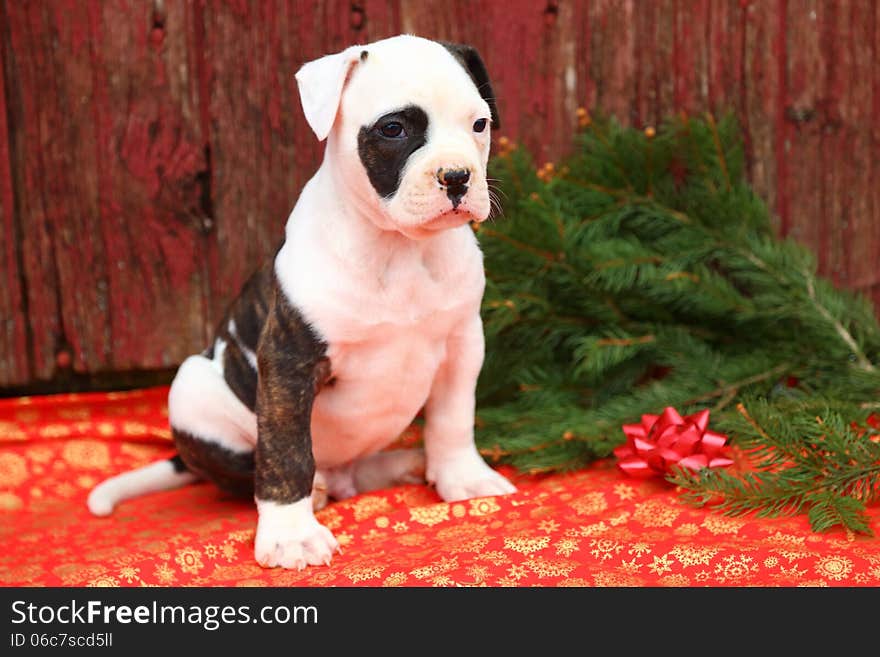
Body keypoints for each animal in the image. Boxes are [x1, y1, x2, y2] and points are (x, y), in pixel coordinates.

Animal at [87, 34, 516, 568]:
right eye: (393, 128)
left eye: (479, 124)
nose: (457, 176)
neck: (398, 248)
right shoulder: (288, 362)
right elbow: (286, 450)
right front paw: (291, 534)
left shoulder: (462, 344)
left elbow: (453, 419)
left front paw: (463, 477)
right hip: (191, 387)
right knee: (256, 471)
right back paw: (318, 491)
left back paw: (406, 464)